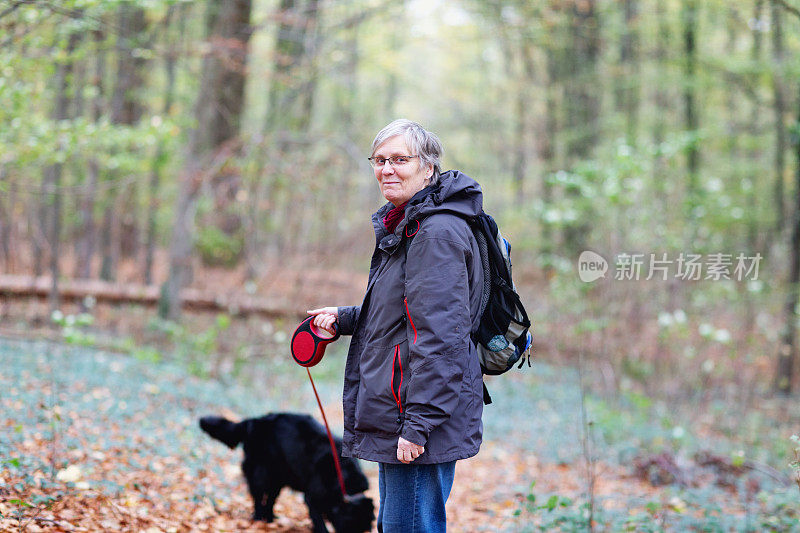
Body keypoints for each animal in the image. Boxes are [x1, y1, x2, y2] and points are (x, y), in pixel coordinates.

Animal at [200, 412, 376, 532]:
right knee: (258, 496)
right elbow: (319, 521)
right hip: (261, 472)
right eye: (354, 525)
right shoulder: (312, 498)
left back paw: (270, 519)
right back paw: (258, 519)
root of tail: (254, 421)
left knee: (270, 499)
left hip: (278, 476)